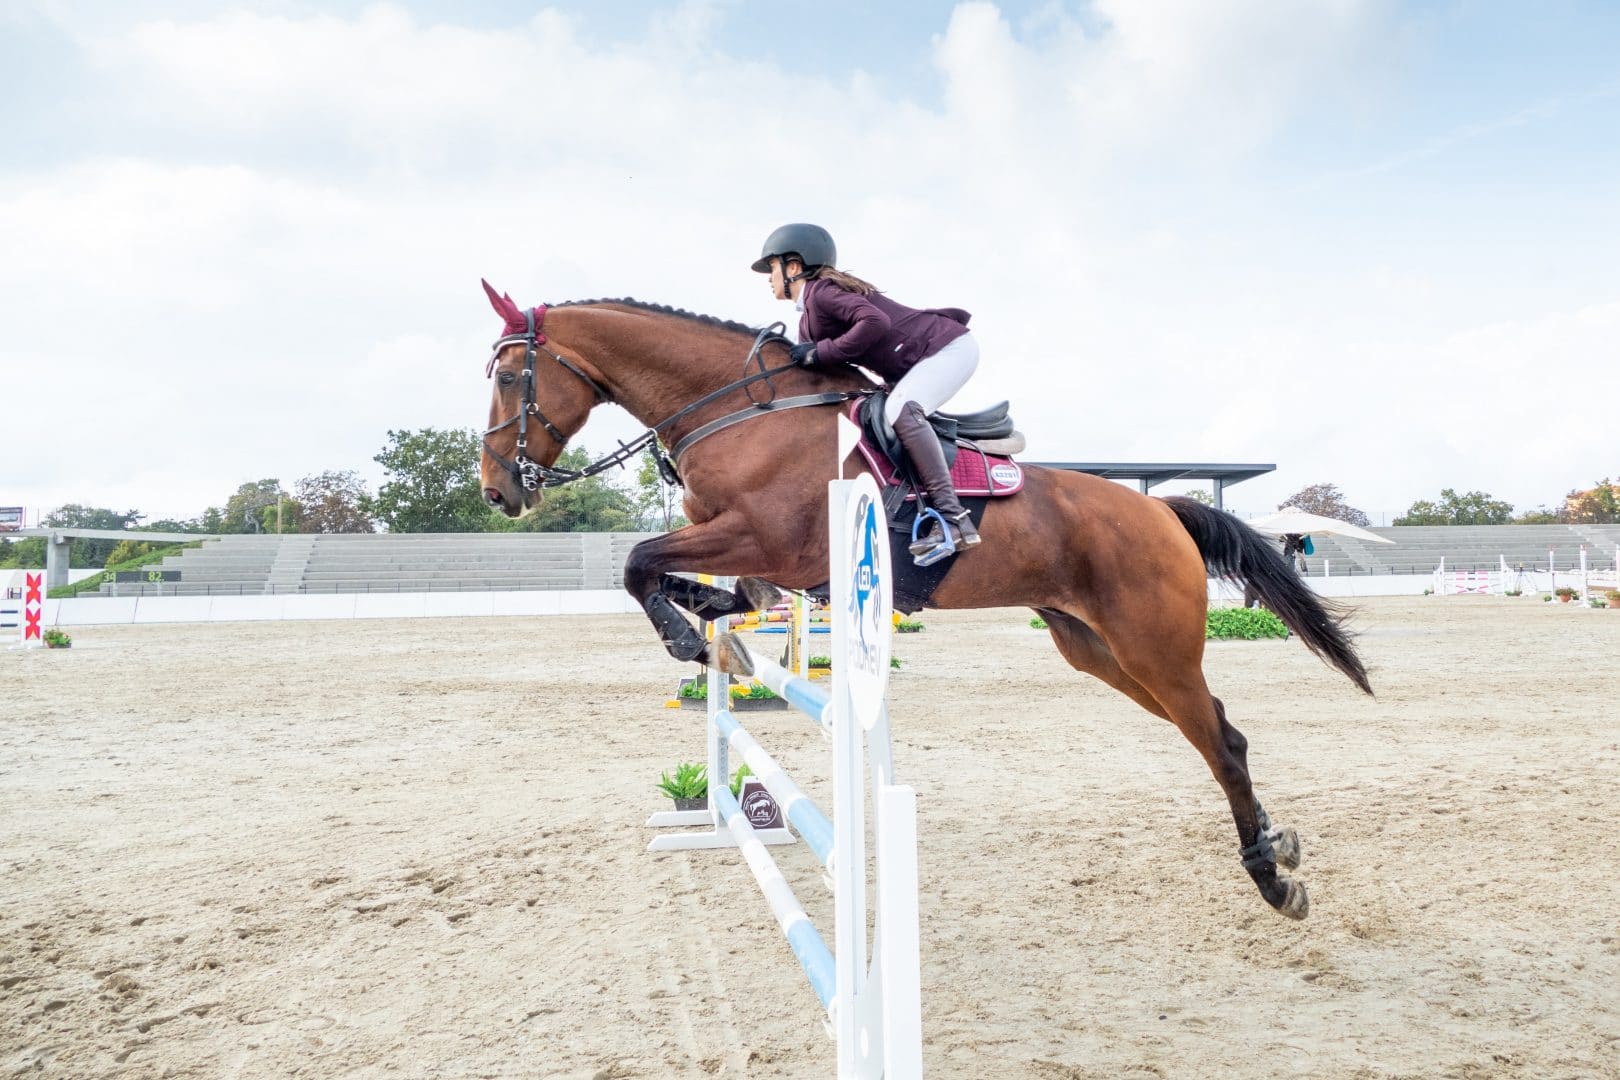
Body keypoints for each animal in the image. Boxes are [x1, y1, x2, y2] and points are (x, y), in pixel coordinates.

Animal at [473, 284, 1373, 919]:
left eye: (512, 376)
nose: (496, 490)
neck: (738, 409)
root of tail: (1161, 509)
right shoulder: (747, 547)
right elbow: (686, 575)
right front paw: (712, 619)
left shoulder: (773, 541)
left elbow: (639, 563)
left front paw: (690, 638)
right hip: (1100, 652)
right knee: (1221, 729)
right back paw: (1279, 846)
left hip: (1153, 648)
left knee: (1221, 745)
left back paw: (1271, 880)